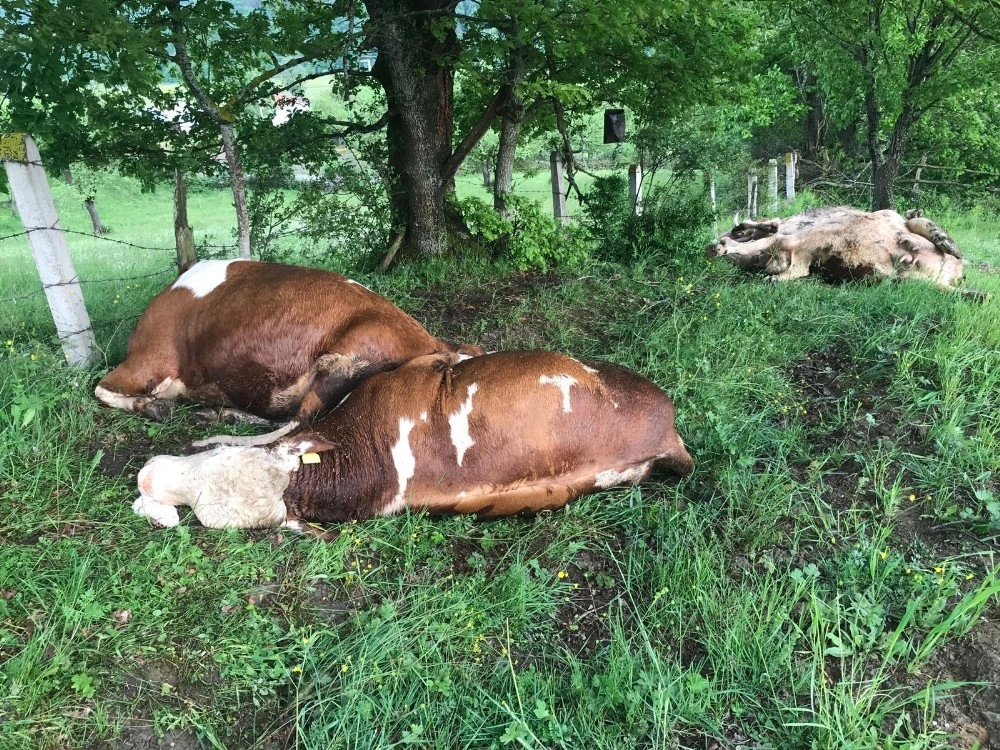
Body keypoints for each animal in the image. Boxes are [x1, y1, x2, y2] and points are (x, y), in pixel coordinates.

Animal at [708, 207, 964, 290]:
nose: (715, 244)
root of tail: (955, 273)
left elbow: (767, 230)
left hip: (895, 216)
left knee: (922, 224)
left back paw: (948, 245)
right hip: (910, 281)